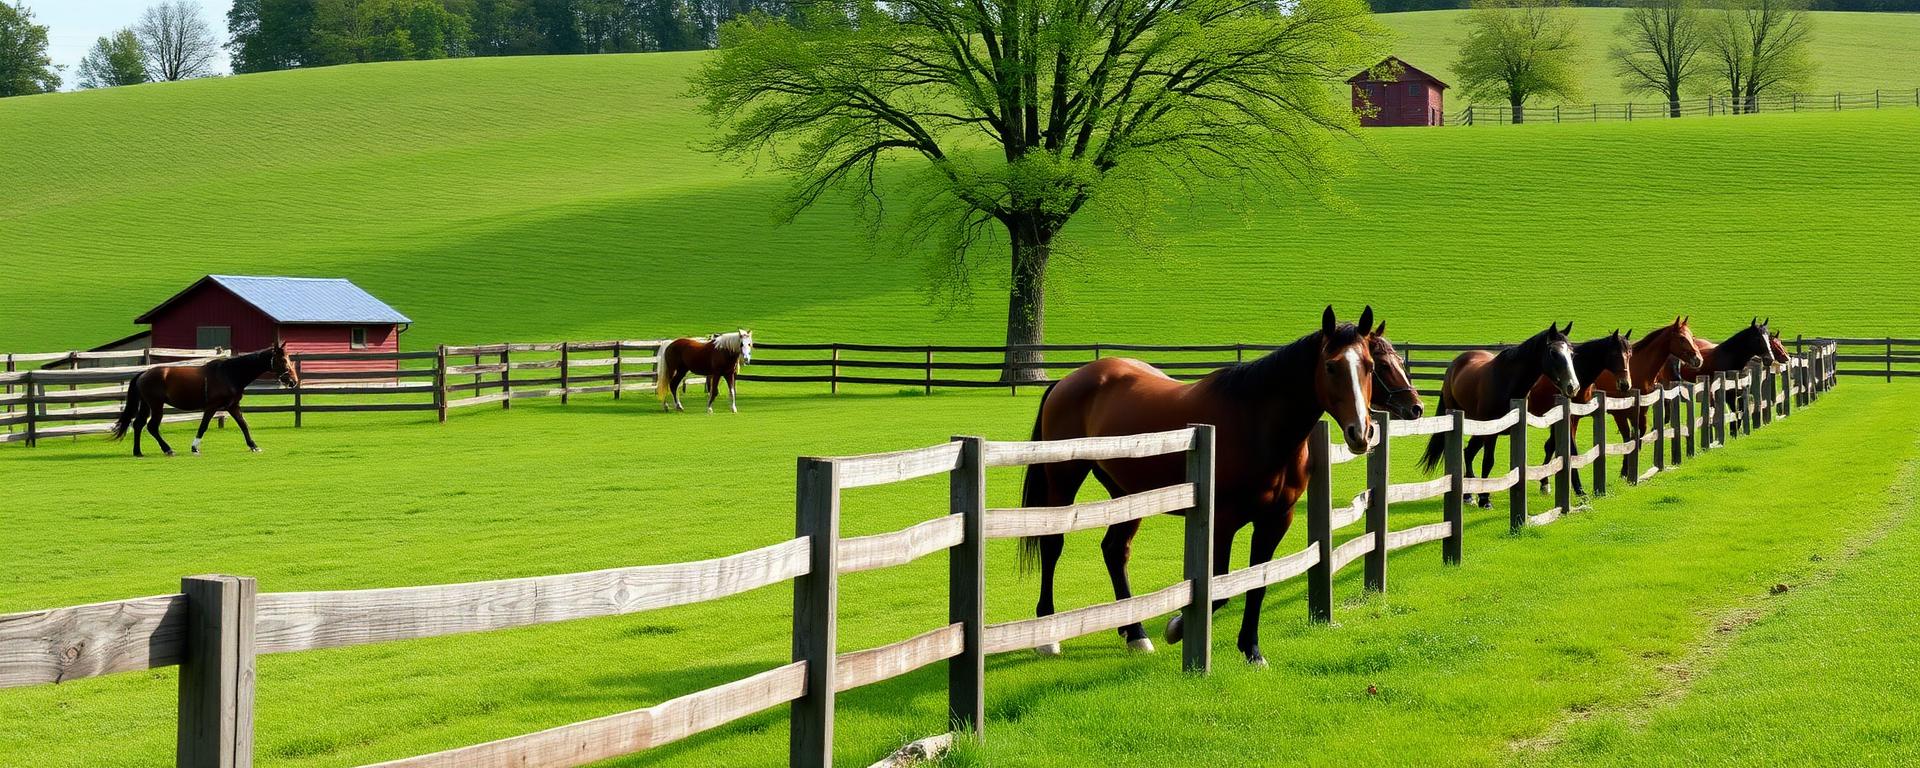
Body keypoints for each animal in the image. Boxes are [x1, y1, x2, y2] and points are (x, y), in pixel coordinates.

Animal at [109, 344, 297, 457]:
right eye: (283, 360)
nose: (293, 381)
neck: (229, 374)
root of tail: (143, 373)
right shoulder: (212, 406)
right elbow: (203, 426)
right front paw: (195, 448)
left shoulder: (232, 406)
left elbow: (244, 425)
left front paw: (254, 446)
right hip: (156, 405)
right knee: (151, 426)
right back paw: (168, 449)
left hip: (147, 405)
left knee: (138, 424)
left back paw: (138, 452)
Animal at [1018, 306, 1392, 666]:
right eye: (1331, 366)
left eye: (1370, 366)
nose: (1361, 432)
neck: (1255, 422)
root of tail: (1070, 379)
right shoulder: (1222, 522)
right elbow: (1220, 588)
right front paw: (1177, 626)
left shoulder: (1275, 520)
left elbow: (1257, 582)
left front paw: (1252, 649)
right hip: (1063, 479)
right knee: (1052, 544)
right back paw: (1048, 637)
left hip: (1127, 493)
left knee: (1115, 550)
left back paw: (1135, 633)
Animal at [1421, 323, 1580, 508]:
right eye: (1554, 353)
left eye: (1571, 353)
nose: (1573, 387)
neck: (1507, 382)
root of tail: (1456, 363)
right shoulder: (1492, 432)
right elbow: (1488, 461)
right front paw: (1485, 499)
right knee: (1468, 453)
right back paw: (1469, 495)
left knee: (1468, 452)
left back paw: (1468, 495)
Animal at [1526, 330, 1634, 497]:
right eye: (1615, 354)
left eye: (1629, 353)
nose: (1625, 384)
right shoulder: (1567, 417)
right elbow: (1571, 449)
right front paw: (1579, 489)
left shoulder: (1572, 418)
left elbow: (1552, 445)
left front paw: (1544, 482)